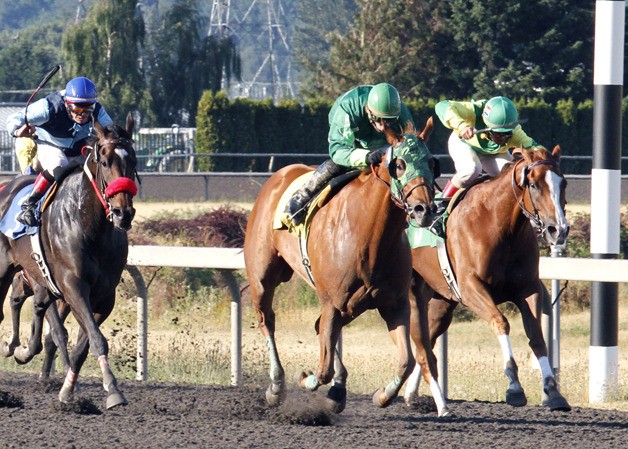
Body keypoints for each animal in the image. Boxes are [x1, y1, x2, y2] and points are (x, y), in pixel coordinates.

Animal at [0, 114, 137, 408]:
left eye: (133, 161)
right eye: (105, 162)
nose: (123, 213)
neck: (90, 226)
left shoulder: (103, 297)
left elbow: (83, 344)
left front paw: (67, 389)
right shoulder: (72, 286)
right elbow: (91, 338)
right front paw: (113, 390)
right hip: (6, 269)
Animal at [243, 118, 448, 412]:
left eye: (432, 163)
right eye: (399, 164)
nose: (425, 210)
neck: (369, 235)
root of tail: (278, 176)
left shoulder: (393, 303)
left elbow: (406, 361)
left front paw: (381, 395)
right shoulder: (333, 301)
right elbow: (322, 369)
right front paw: (306, 378)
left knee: (321, 328)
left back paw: (338, 389)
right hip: (263, 276)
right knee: (267, 320)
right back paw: (277, 386)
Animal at [404, 145, 572, 412]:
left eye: (563, 182)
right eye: (533, 184)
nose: (559, 230)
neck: (498, 225)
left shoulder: (528, 288)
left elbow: (536, 335)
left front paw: (553, 391)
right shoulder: (471, 288)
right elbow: (500, 322)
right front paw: (514, 387)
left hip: (442, 301)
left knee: (427, 338)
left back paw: (410, 394)